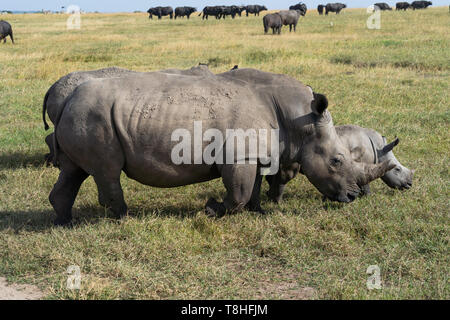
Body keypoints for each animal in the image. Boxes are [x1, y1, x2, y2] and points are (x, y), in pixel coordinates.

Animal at [47, 67, 392, 225]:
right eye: (336, 161)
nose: (352, 197)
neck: (300, 121)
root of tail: (65, 99)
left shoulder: (253, 153)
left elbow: (252, 189)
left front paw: (258, 211)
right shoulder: (239, 154)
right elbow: (238, 192)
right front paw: (212, 209)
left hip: (82, 115)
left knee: (74, 171)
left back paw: (65, 222)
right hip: (94, 117)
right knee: (106, 170)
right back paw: (124, 218)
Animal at [266, 125, 414, 202]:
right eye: (397, 169)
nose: (410, 184)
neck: (379, 149)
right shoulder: (364, 163)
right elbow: (365, 183)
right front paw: (368, 197)